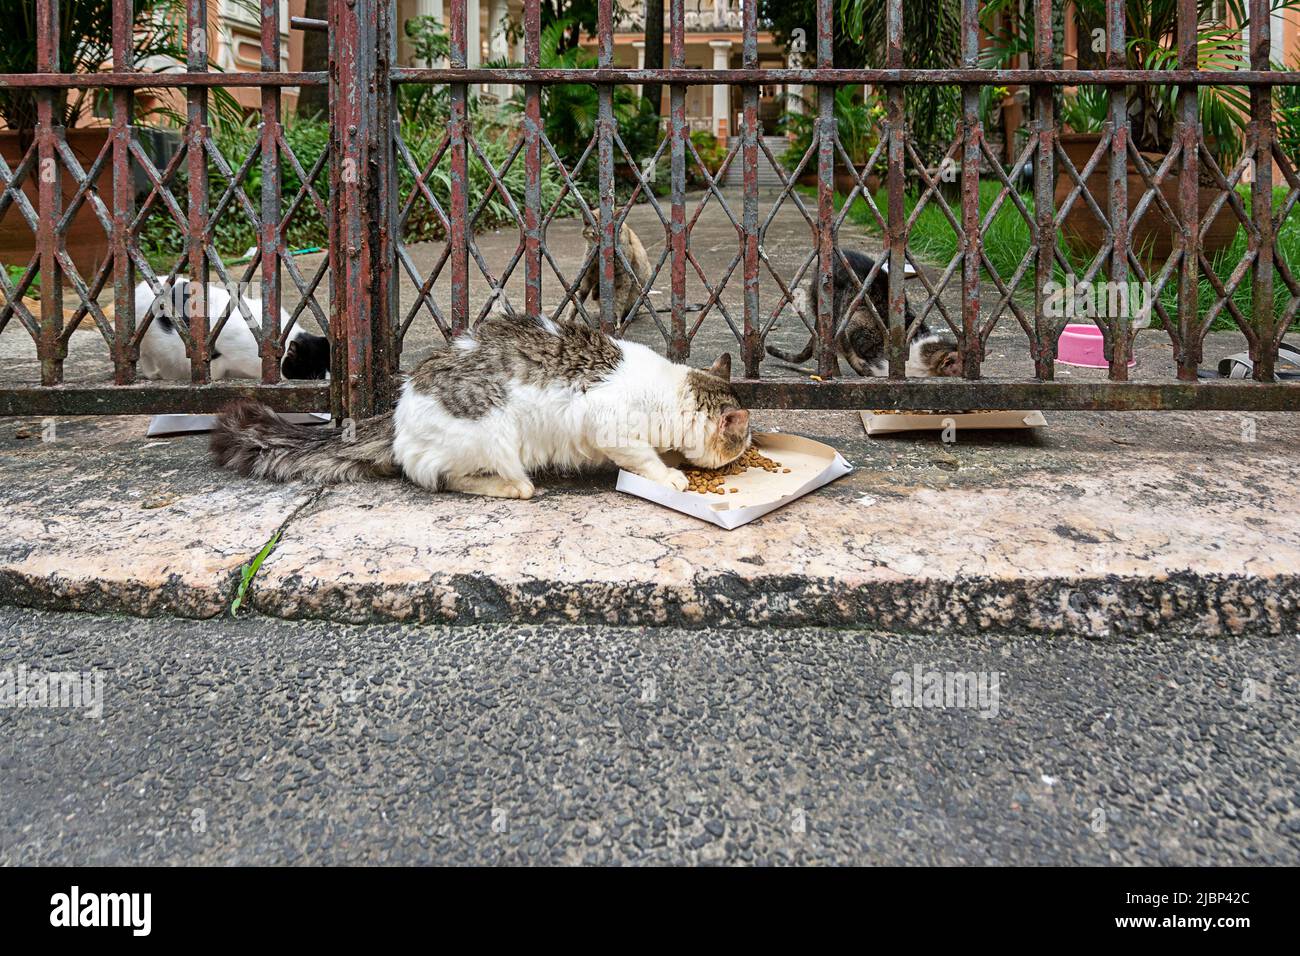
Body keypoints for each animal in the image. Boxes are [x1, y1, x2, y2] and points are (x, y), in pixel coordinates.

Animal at [208, 314, 748, 502]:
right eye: (740, 444)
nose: (742, 458)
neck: (667, 393)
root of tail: (399, 408)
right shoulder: (607, 427)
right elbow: (643, 458)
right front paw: (672, 475)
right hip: (493, 433)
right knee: (440, 478)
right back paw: (515, 487)